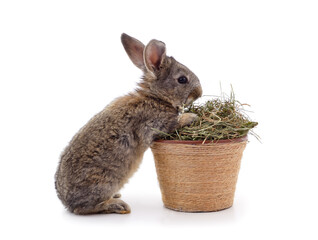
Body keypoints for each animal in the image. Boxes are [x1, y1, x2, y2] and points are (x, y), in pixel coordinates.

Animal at [54, 33, 201, 214]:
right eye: (182, 79)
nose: (200, 92)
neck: (156, 97)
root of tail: (67, 202)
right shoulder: (153, 124)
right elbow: (171, 125)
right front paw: (191, 116)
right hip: (104, 181)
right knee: (85, 209)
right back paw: (118, 205)